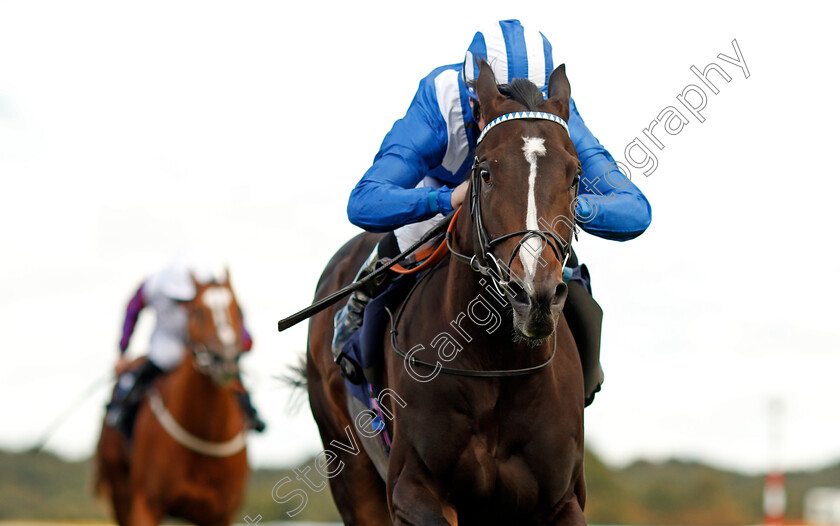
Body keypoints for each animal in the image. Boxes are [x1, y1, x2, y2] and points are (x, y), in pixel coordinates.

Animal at [96, 274, 249, 526]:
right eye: (198, 312)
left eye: (237, 310)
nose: (225, 359)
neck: (204, 433)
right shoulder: (146, 504)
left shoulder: (220, 513)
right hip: (119, 488)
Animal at [306, 59, 588, 524]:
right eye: (486, 172)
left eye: (575, 177)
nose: (534, 295)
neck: (497, 364)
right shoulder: (412, 489)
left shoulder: (562, 500)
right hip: (350, 472)